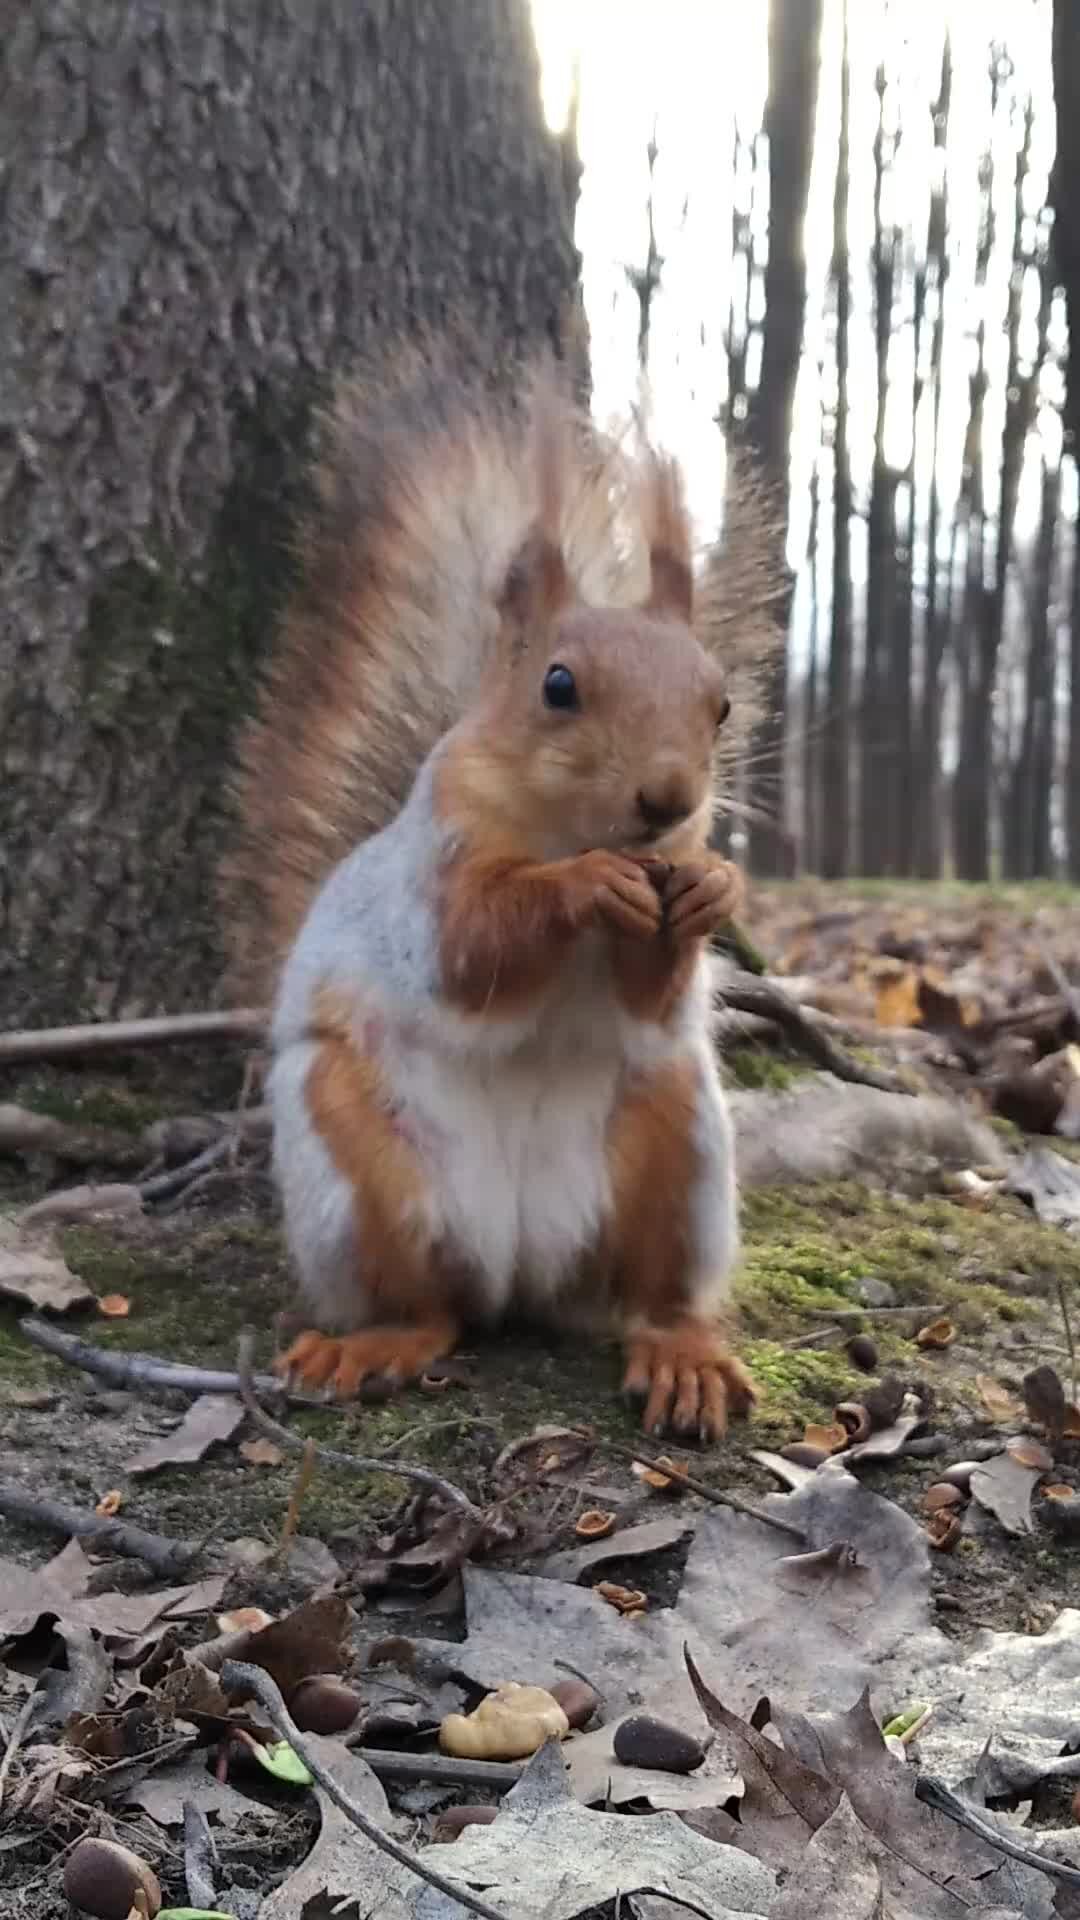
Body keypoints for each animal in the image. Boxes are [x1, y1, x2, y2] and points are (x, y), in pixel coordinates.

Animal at [222, 337, 772, 1443]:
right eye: (557, 686)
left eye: (722, 703)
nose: (670, 800)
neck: (561, 828)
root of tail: (523, 1263)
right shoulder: (431, 882)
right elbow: (474, 952)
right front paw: (585, 886)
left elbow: (651, 991)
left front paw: (710, 889)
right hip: (355, 1174)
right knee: (429, 1305)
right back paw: (373, 1344)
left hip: (681, 1156)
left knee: (649, 1297)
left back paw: (682, 1355)